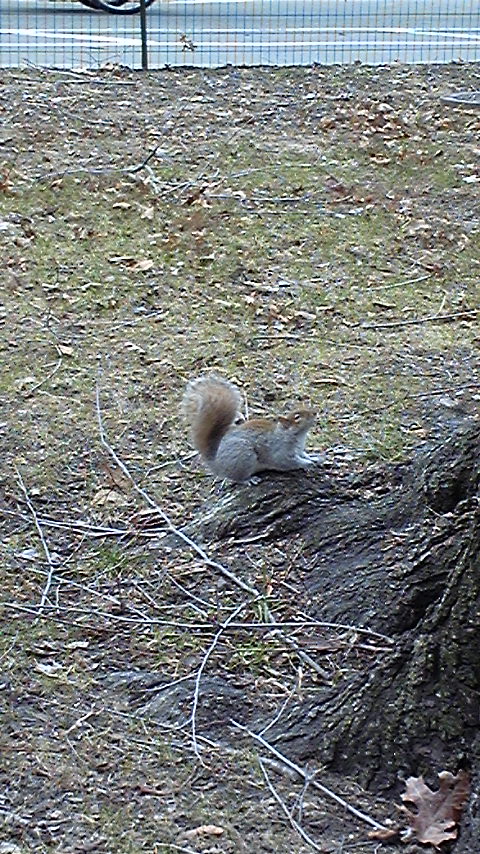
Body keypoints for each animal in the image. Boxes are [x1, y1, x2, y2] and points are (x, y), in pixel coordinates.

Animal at [182, 375, 317, 482]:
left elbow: (303, 454)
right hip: (243, 457)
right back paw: (249, 480)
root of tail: (215, 463)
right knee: (237, 478)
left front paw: (313, 457)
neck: (295, 435)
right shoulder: (280, 451)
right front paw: (308, 463)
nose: (315, 413)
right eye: (297, 417)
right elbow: (289, 462)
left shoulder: (299, 450)